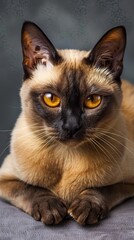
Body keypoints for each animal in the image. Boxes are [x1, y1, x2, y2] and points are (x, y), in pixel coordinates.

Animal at [0, 21, 134, 226]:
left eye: (93, 101)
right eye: (51, 99)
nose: (71, 126)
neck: (66, 158)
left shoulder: (128, 183)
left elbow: (102, 189)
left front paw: (86, 207)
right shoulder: (5, 179)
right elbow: (28, 188)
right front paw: (51, 208)